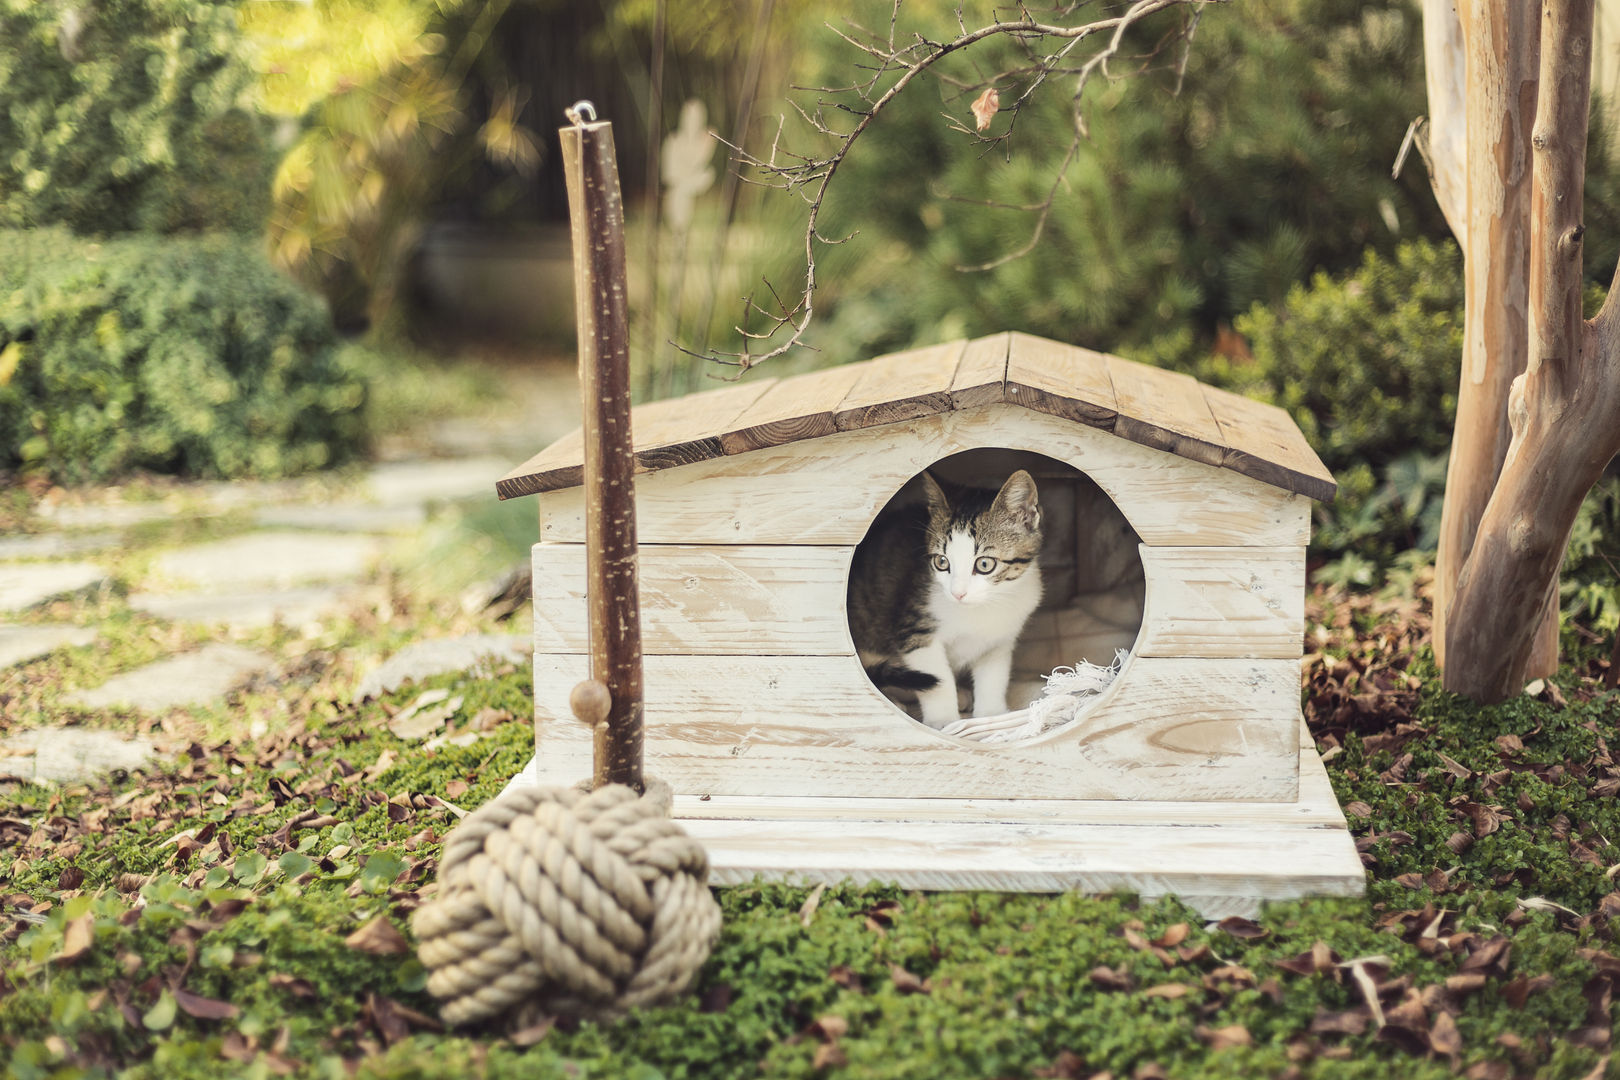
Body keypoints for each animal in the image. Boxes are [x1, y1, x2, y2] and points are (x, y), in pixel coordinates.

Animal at [848, 469, 1049, 731]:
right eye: (941, 562)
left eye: (985, 564)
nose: (957, 593)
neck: (982, 609)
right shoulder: (915, 630)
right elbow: (937, 680)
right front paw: (943, 721)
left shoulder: (1000, 640)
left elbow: (993, 676)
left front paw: (992, 715)